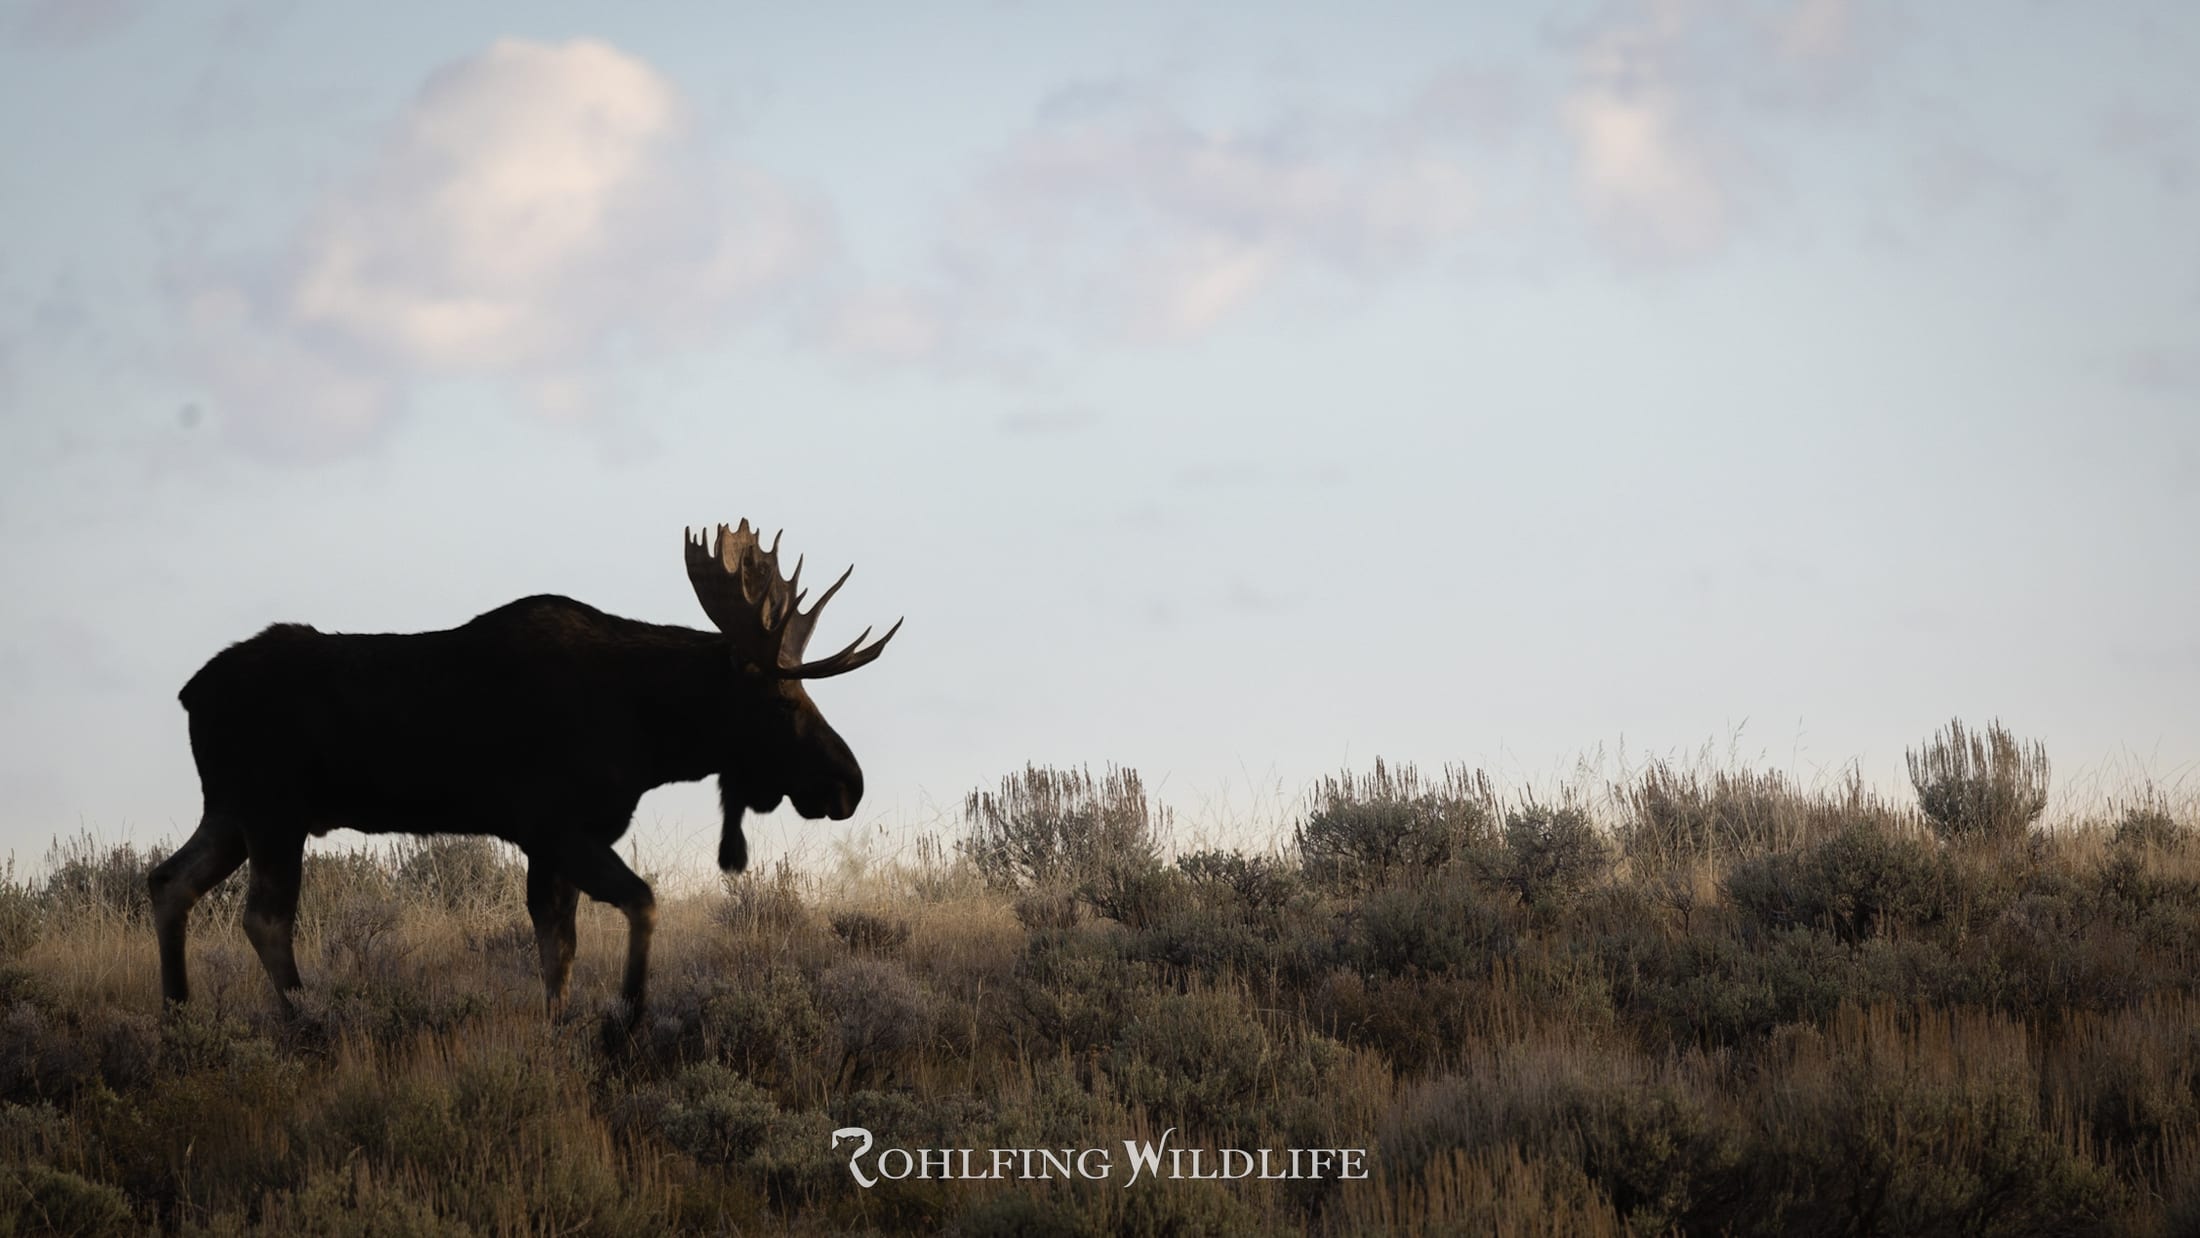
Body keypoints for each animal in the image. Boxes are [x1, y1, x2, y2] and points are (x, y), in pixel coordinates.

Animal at [148, 521, 899, 1022]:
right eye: (782, 699)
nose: (848, 783)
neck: (650, 731)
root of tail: (188, 692)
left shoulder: (553, 841)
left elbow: (557, 948)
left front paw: (561, 1025)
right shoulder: (556, 824)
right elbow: (639, 903)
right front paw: (626, 1014)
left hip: (231, 811)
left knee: (168, 881)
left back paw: (179, 1015)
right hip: (275, 811)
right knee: (264, 916)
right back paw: (306, 1021)